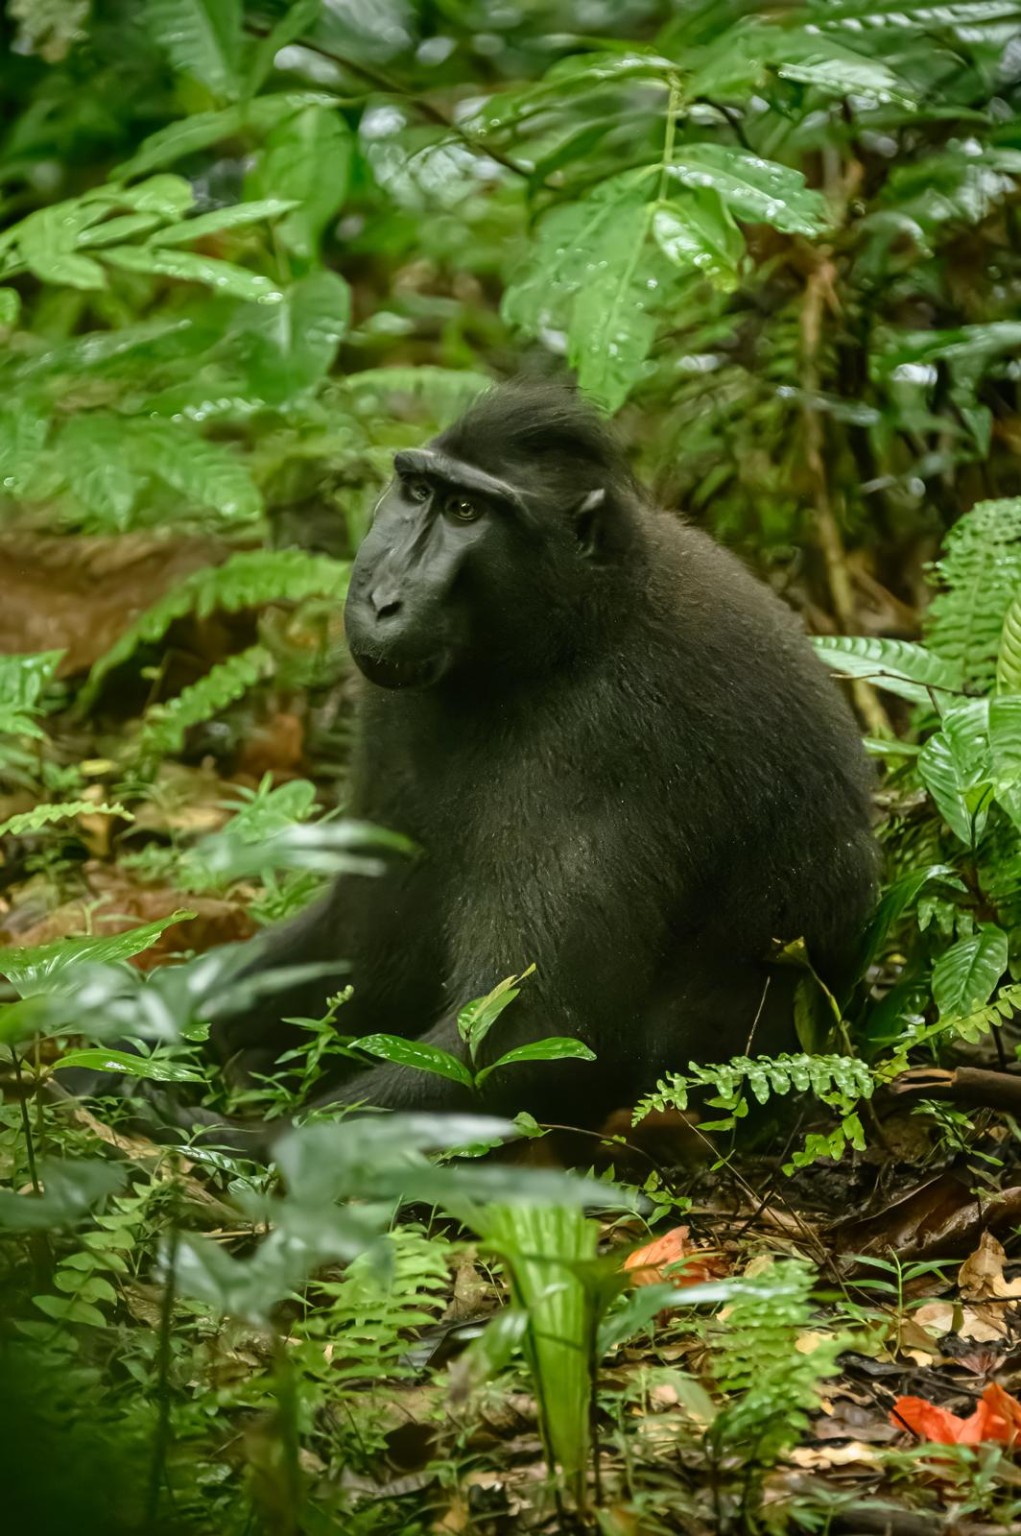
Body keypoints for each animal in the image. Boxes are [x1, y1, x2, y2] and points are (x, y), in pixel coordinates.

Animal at [200, 381, 879, 1132]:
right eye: (418, 491)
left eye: (466, 512)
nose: (380, 600)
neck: (569, 634)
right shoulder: (393, 708)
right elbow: (362, 942)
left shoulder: (601, 741)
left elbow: (538, 1032)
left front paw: (227, 1142)